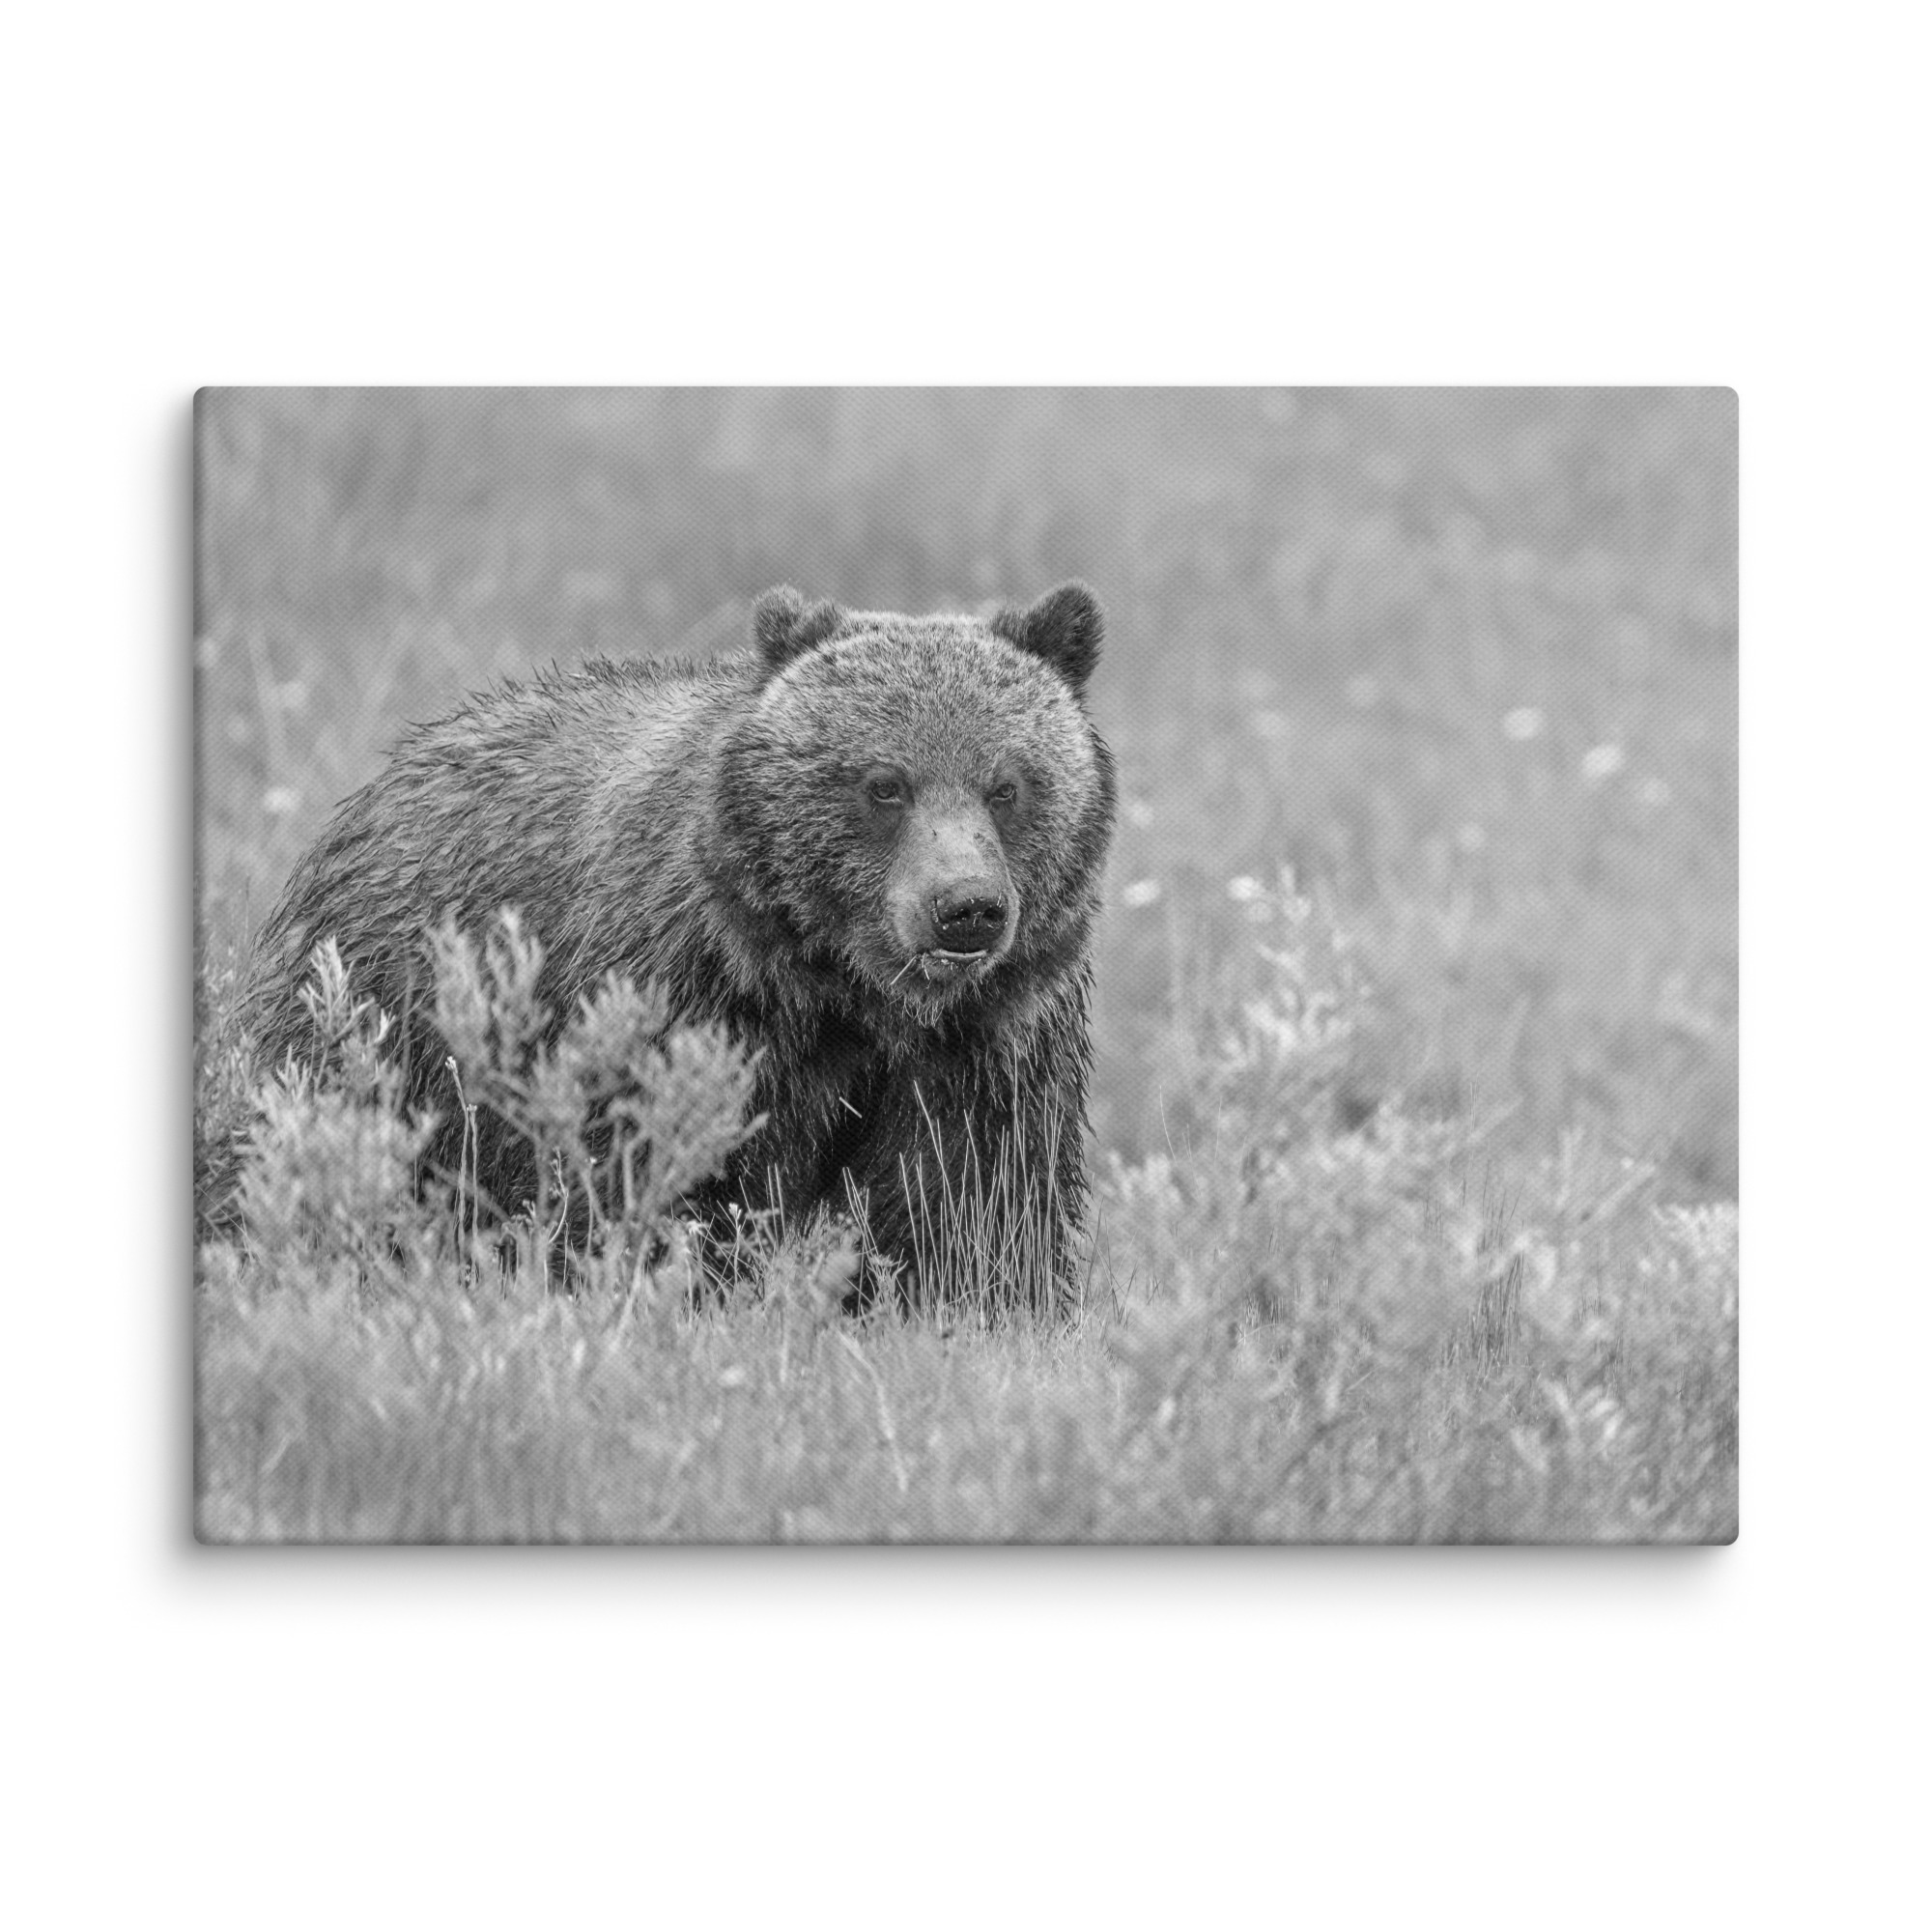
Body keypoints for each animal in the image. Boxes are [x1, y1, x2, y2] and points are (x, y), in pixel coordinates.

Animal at [243, 582, 1117, 1308]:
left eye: (1007, 785)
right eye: (884, 784)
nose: (965, 908)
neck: (846, 993)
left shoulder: (988, 1043)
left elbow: (974, 1205)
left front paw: (976, 1309)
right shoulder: (687, 1000)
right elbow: (659, 1176)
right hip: (387, 1018)